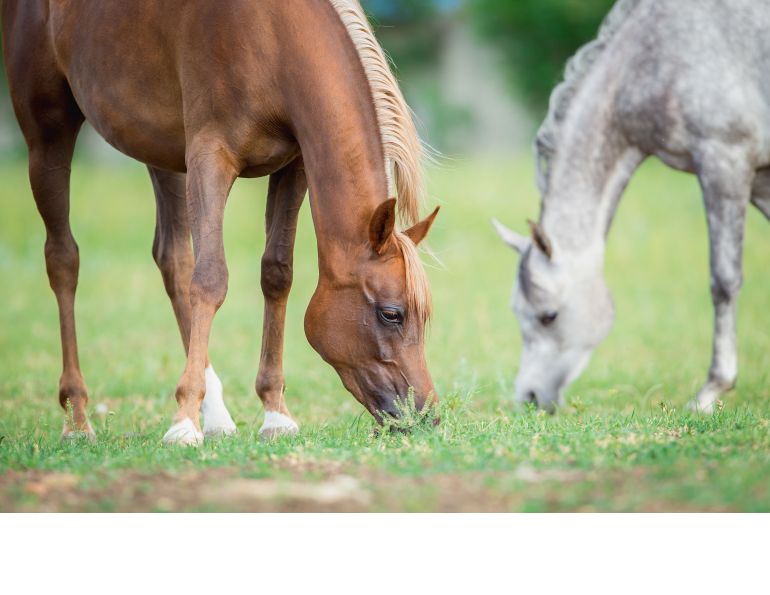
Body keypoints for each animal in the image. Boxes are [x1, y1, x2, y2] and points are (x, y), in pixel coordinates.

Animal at [2, 0, 440, 445]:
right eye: (391, 313)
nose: (425, 416)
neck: (273, 37)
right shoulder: (210, 158)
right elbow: (210, 279)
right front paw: (182, 423)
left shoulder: (295, 166)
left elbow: (276, 274)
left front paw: (274, 413)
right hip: (47, 136)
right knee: (63, 260)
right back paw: (78, 418)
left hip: (159, 147)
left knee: (173, 259)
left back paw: (214, 414)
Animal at [493, 0, 770, 413]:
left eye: (548, 317)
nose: (529, 398)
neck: (655, 58)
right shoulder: (759, 176)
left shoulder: (725, 161)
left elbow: (724, 280)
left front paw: (711, 391)